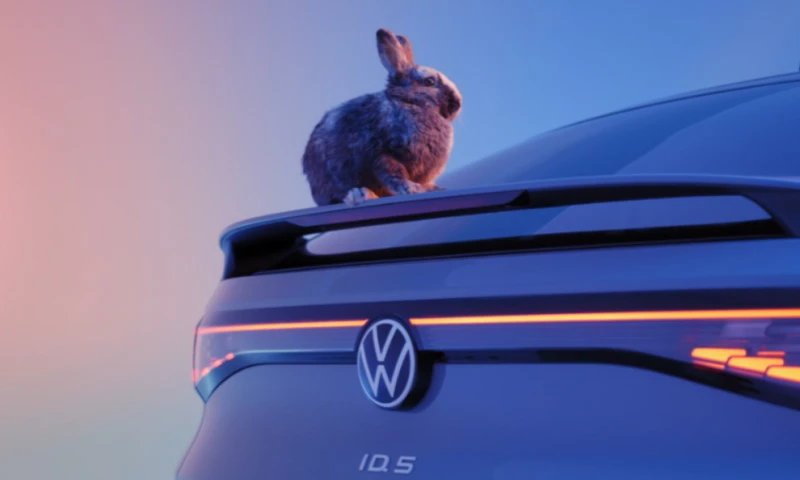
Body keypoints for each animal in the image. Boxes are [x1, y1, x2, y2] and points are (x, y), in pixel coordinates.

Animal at [302, 28, 462, 206]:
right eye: (429, 82)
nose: (457, 103)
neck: (409, 102)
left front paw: (435, 188)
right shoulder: (385, 155)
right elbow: (393, 175)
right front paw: (413, 189)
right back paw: (361, 194)